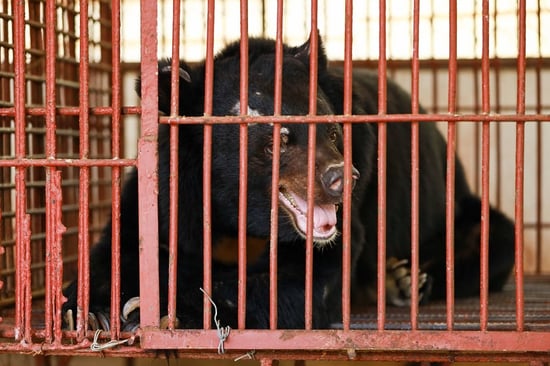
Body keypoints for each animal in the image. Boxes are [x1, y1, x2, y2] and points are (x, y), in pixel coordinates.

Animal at [63, 35, 516, 330]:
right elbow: (129, 242)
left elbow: (301, 280)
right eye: (277, 141)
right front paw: (89, 308)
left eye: (333, 132)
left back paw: (405, 281)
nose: (341, 179)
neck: (241, 211)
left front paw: (148, 309)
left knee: (492, 239)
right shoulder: (171, 186)